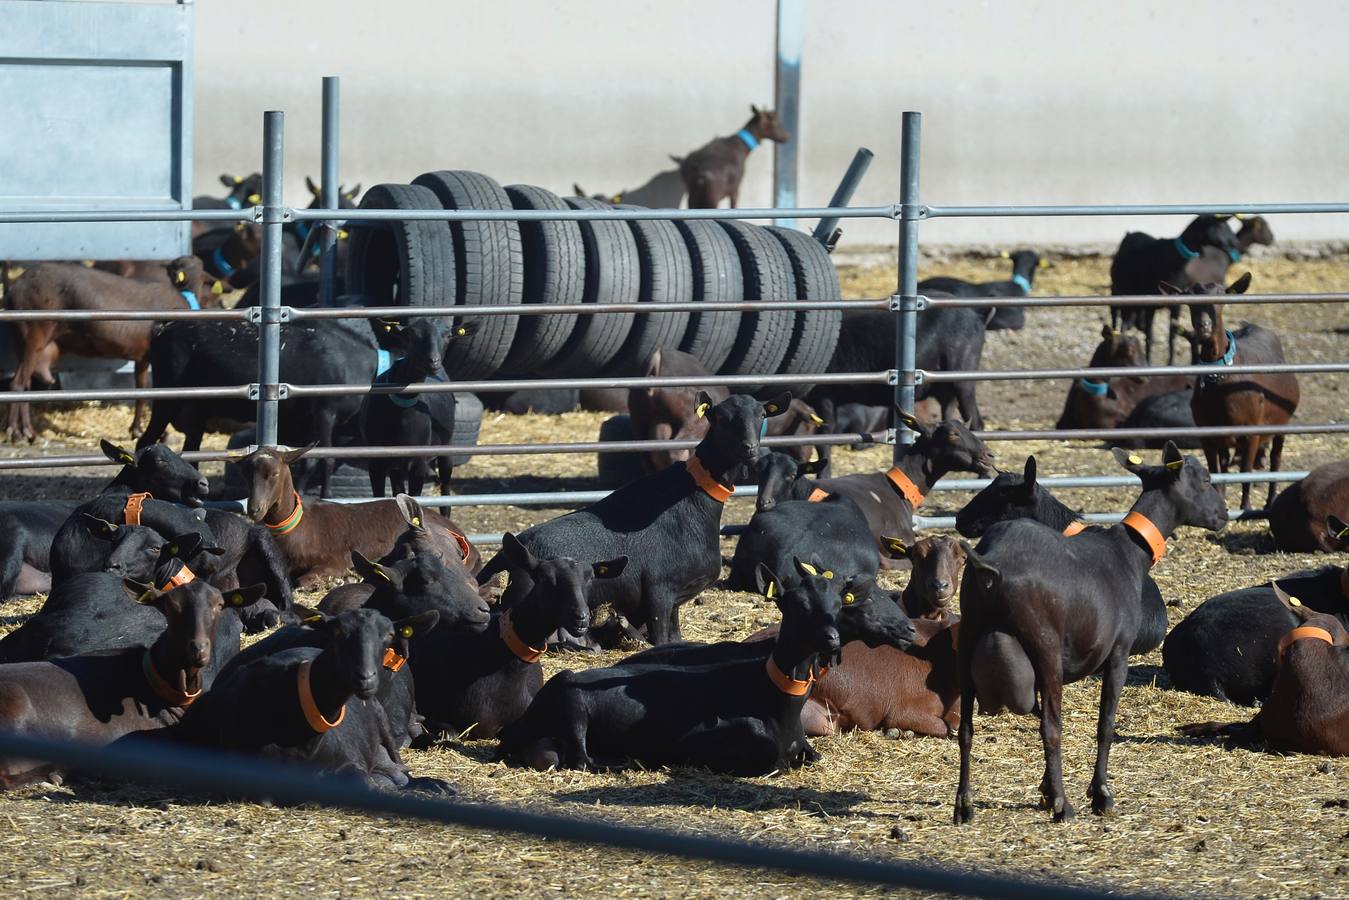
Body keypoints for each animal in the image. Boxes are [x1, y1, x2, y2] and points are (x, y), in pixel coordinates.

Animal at [5, 255, 221, 442]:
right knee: (18, 383)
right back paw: (18, 432)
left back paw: (24, 432)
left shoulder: (143, 356)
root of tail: (14, 286)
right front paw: (161, 434)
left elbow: (142, 390)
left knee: (25, 384)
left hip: (23, 338)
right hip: (35, 332)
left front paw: (136, 430)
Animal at [236, 447, 480, 588]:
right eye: (245, 474)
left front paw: (335, 580)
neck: (300, 529)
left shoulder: (335, 561)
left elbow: (303, 581)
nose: (254, 509)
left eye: (274, 474)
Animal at [1176, 271, 1300, 510]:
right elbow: (1215, 471)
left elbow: (1245, 472)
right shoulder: (1207, 434)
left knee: (1276, 459)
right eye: (1190, 302)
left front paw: (1246, 507)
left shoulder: (1251, 431)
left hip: (1282, 422)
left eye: (1221, 298)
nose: (1204, 325)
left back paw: (1270, 500)